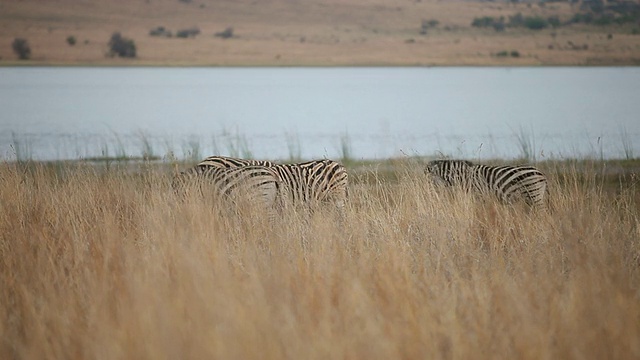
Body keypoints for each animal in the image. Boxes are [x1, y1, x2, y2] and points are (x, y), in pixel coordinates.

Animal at [424, 159, 552, 207]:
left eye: (428, 182)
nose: (429, 196)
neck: (464, 177)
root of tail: (541, 174)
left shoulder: (479, 195)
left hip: (533, 193)